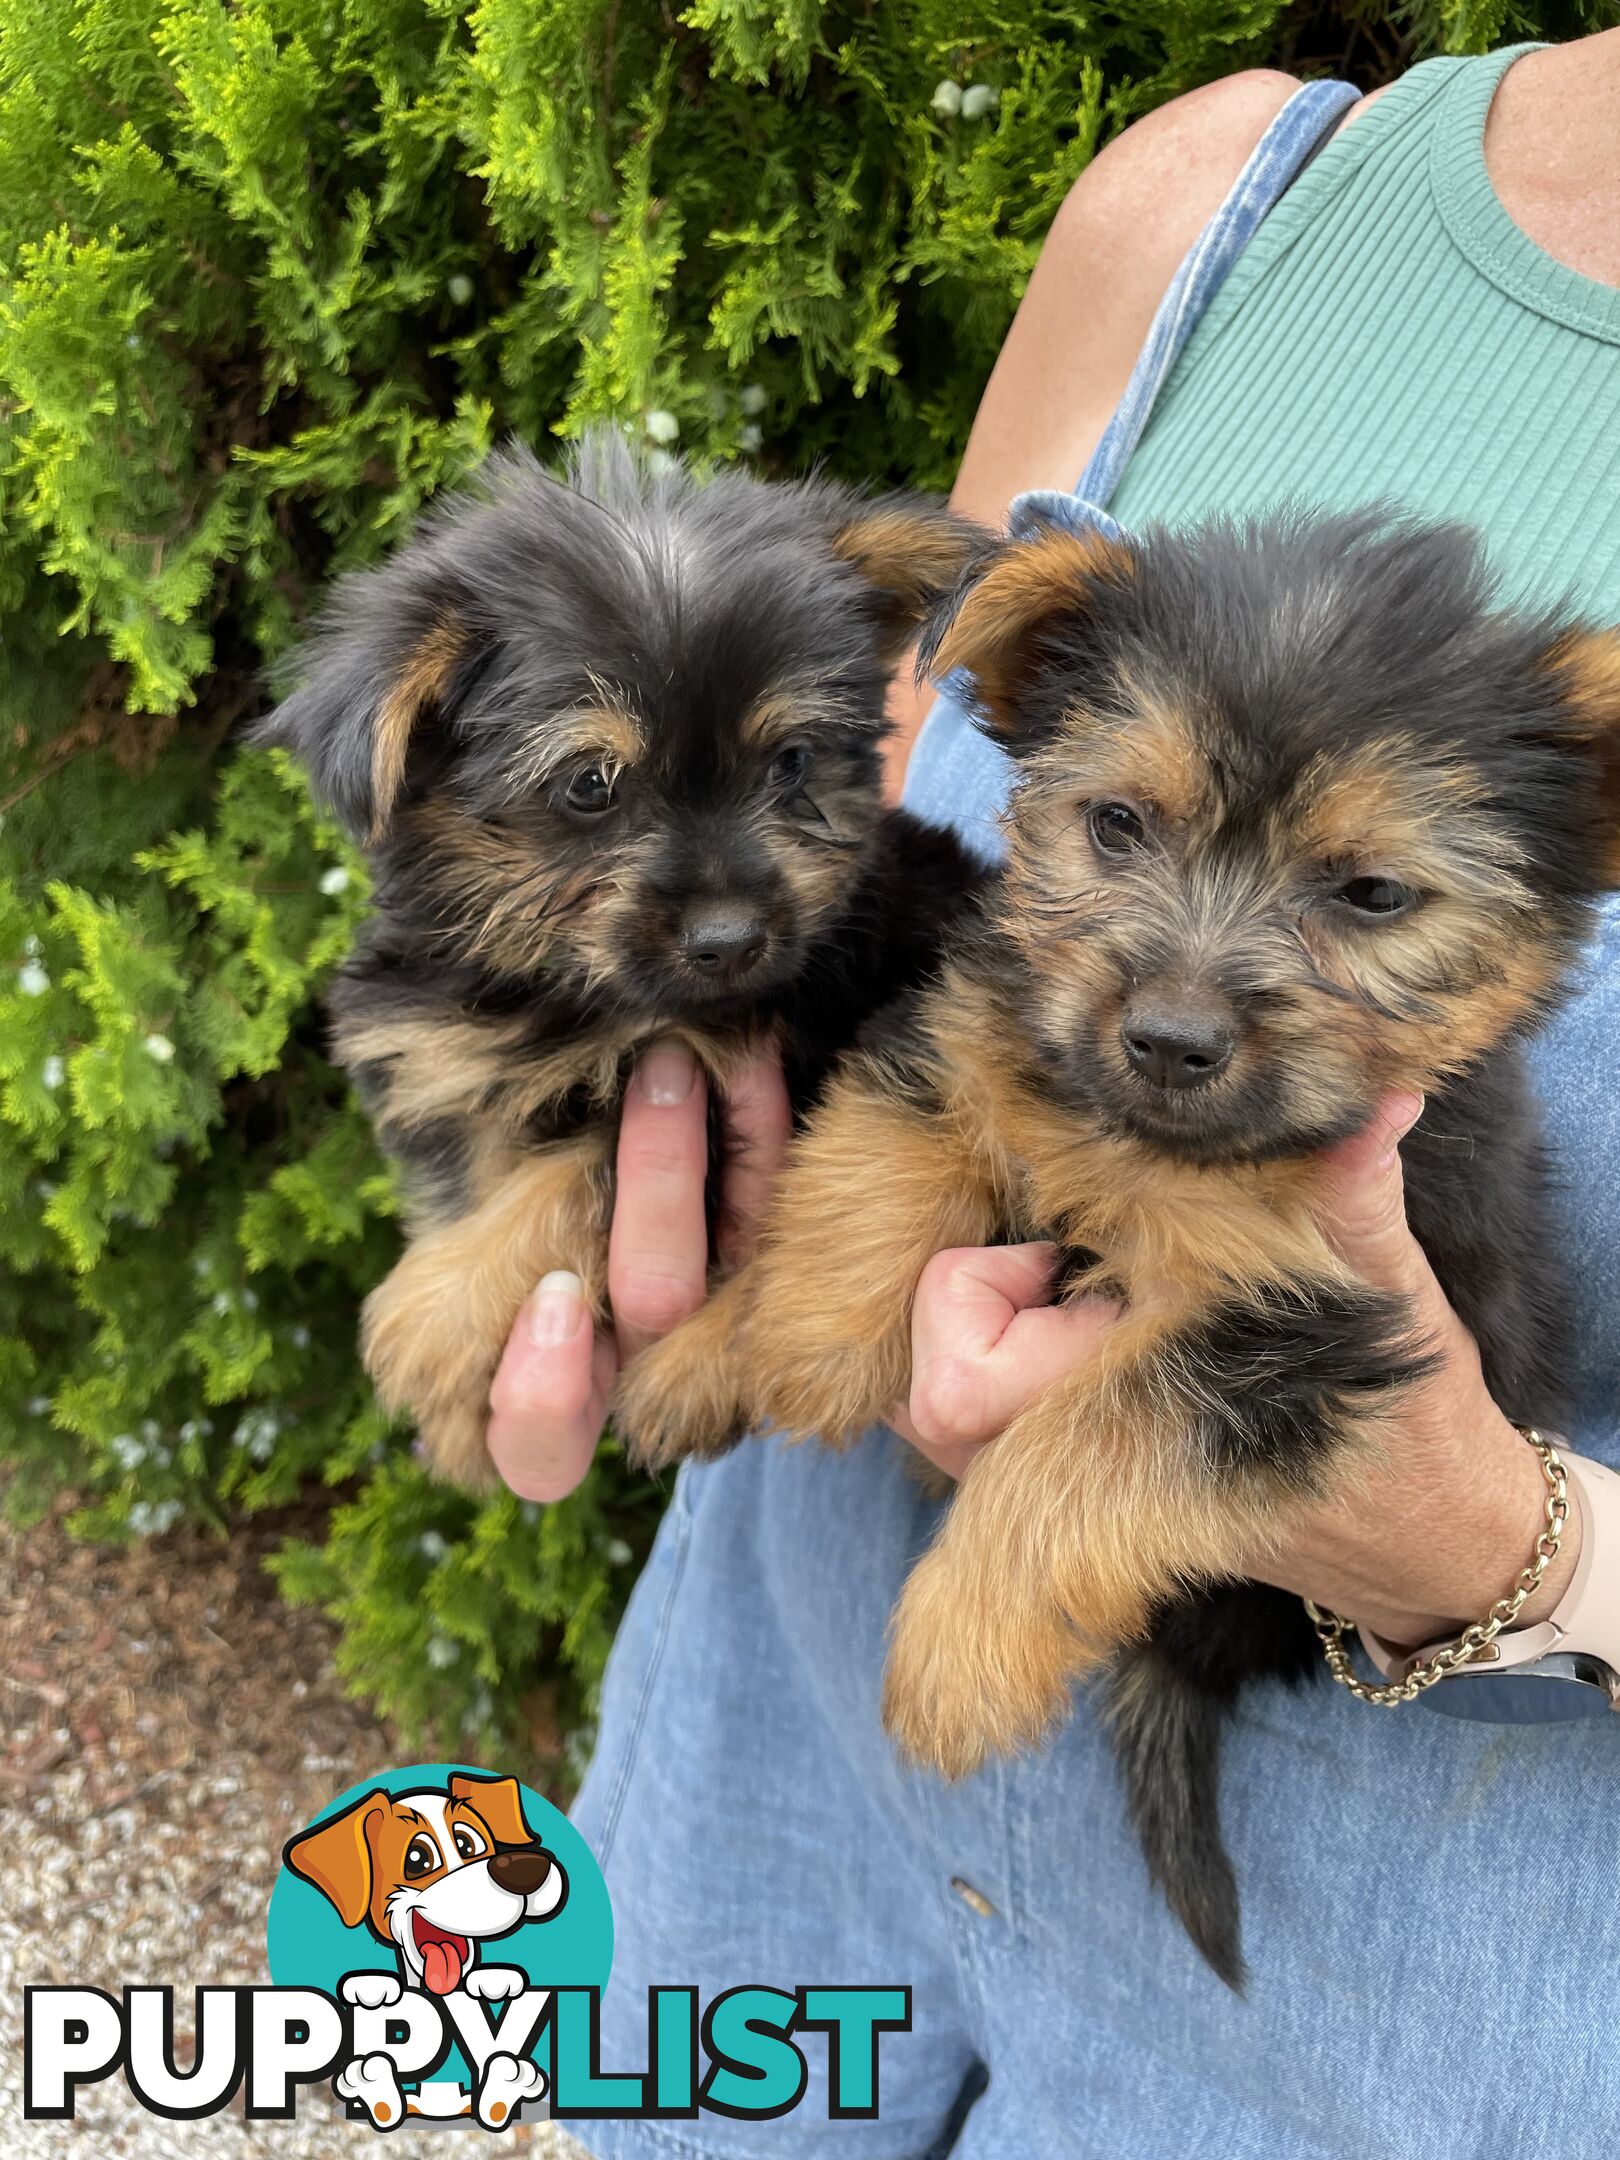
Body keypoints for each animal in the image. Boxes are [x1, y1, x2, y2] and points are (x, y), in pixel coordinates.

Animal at [263, 432, 989, 1494]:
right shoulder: (440, 1068)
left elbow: (575, 1168)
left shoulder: (702, 1079)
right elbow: (472, 1183)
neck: (553, 990)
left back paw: (698, 1365)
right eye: (591, 785)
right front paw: (460, 1397)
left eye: (791, 762)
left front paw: (440, 1316)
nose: (730, 938)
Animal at [617, 509, 1620, 1987]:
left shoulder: (1301, 1319)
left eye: (1372, 893)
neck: (1149, 1145)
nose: (1169, 1039)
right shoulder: (983, 1035)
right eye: (1118, 824)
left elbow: (1090, 1435)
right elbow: (882, 1154)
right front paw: (785, 1335)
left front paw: (958, 1647)